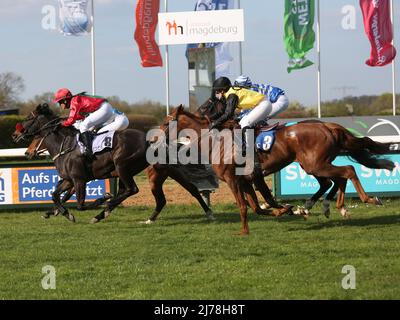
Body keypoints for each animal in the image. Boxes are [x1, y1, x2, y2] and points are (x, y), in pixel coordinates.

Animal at [161, 106, 396, 234]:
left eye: (165, 122)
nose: (156, 138)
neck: (217, 141)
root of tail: (327, 126)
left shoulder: (234, 180)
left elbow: (246, 206)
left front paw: (244, 230)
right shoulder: (247, 179)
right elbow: (257, 206)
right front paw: (285, 209)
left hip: (315, 164)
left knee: (347, 171)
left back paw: (366, 199)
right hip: (313, 164)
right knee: (333, 180)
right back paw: (323, 207)